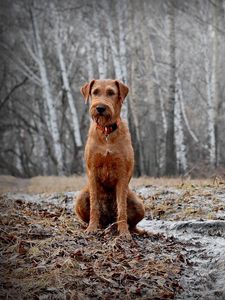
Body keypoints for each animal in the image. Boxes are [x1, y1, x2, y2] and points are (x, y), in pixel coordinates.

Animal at [74, 79, 145, 239]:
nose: (100, 108)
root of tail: (108, 220)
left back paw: (123, 229)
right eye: (95, 92)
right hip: (80, 197)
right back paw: (97, 226)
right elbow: (94, 205)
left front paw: (123, 232)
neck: (107, 132)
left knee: (130, 222)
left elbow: (122, 208)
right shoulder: (92, 171)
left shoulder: (122, 173)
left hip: (138, 204)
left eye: (111, 93)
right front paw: (92, 228)